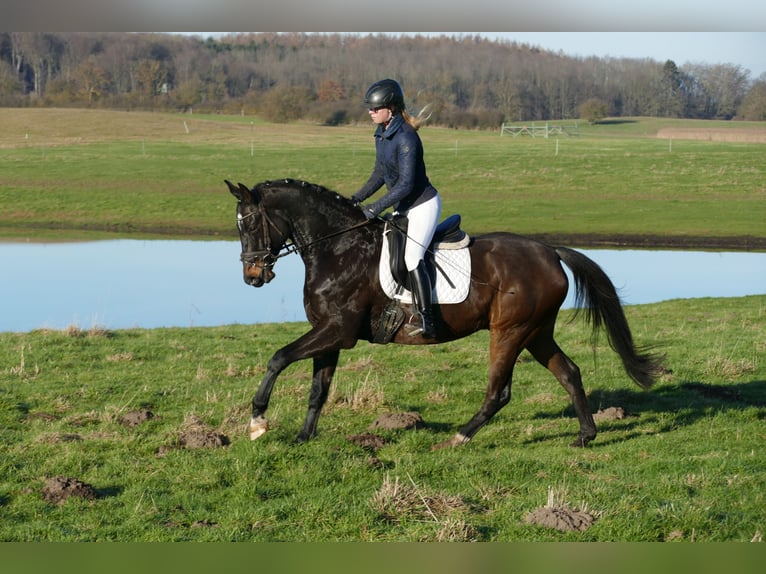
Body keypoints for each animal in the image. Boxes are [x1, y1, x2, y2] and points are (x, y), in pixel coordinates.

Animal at [225, 178, 664, 450]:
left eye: (250, 224)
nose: (252, 276)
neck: (337, 249)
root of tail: (550, 252)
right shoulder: (329, 333)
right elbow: (319, 389)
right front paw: (303, 437)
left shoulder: (337, 331)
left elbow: (278, 358)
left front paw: (258, 421)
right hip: (536, 331)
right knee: (569, 373)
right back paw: (586, 435)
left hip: (509, 331)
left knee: (499, 391)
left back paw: (457, 438)